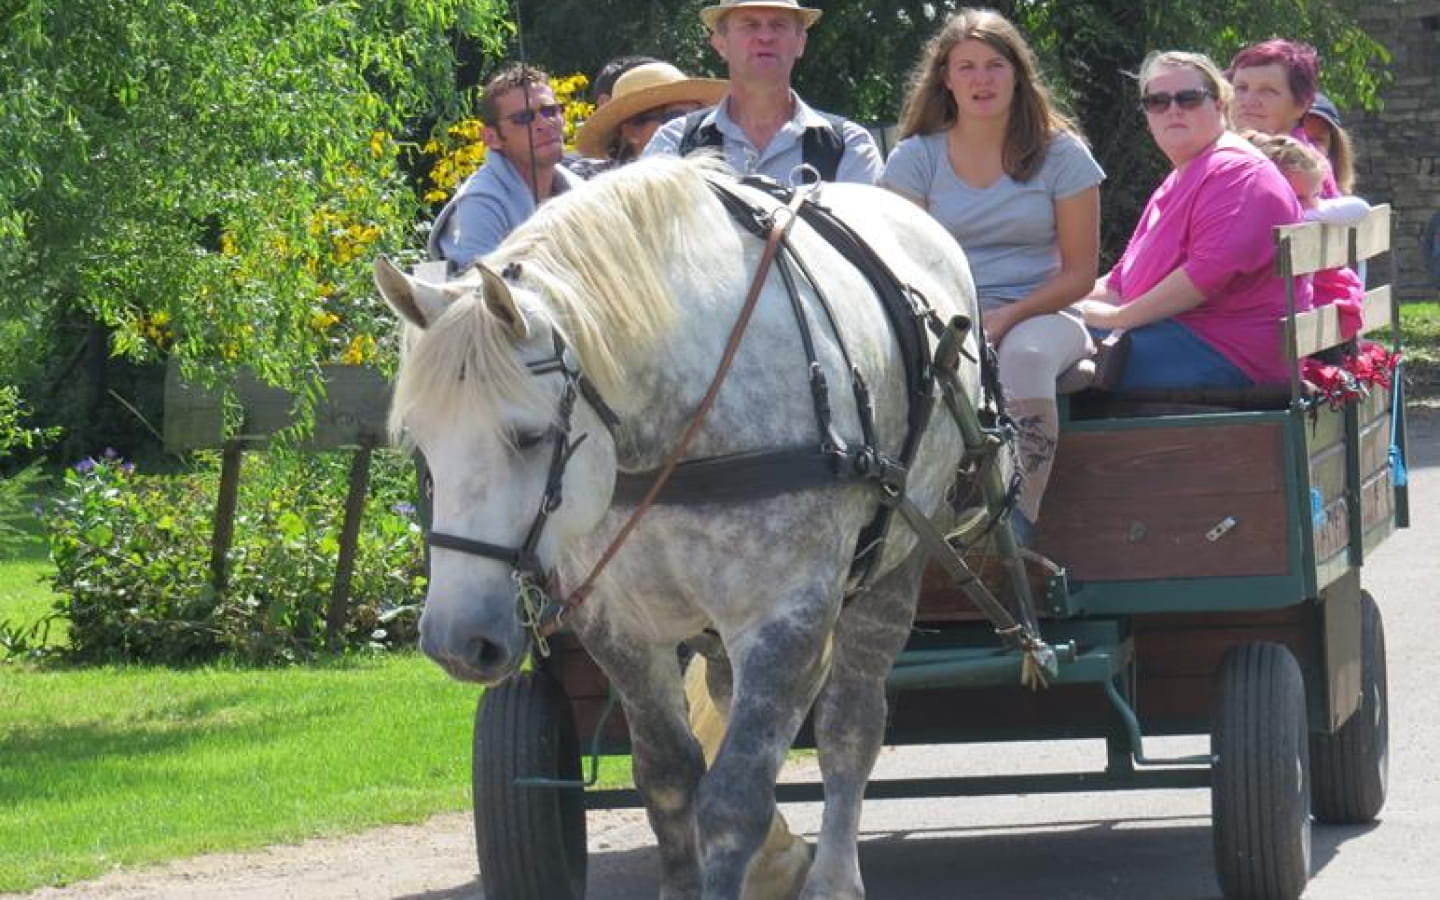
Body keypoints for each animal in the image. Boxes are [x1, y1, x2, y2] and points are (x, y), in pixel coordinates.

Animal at [374, 156, 979, 898]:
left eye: (530, 436)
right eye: (420, 442)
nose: (456, 639)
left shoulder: (787, 616)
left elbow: (732, 800)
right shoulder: (619, 625)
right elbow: (668, 781)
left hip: (893, 567)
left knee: (850, 727)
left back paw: (833, 874)